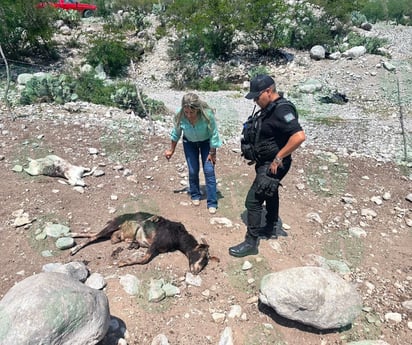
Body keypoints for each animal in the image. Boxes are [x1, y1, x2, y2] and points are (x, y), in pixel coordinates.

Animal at [70, 211, 212, 272]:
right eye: (201, 255)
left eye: (206, 261)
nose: (196, 270)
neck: (178, 236)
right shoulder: (155, 242)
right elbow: (145, 259)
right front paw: (123, 262)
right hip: (113, 226)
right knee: (93, 237)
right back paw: (73, 249)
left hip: (110, 232)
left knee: (93, 234)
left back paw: (72, 234)